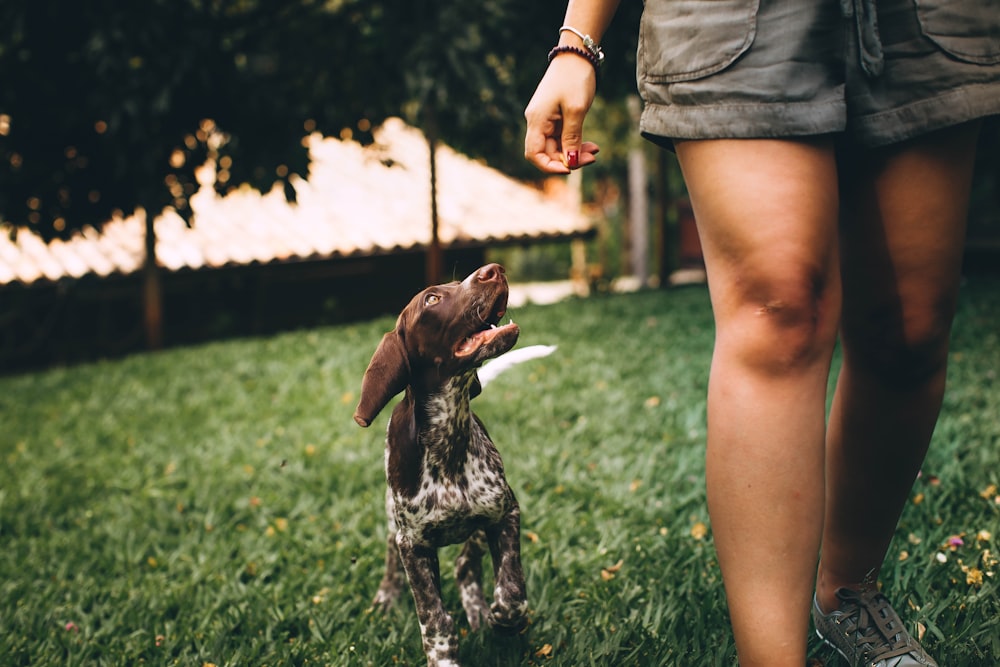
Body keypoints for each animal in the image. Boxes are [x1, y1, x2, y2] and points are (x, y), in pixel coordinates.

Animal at [360, 264, 532, 664]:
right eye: (432, 299)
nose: (493, 270)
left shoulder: (504, 513)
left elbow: (512, 590)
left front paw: (503, 619)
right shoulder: (413, 546)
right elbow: (434, 619)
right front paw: (443, 656)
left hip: (477, 529)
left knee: (465, 566)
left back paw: (480, 610)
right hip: (392, 519)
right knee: (392, 555)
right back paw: (387, 595)